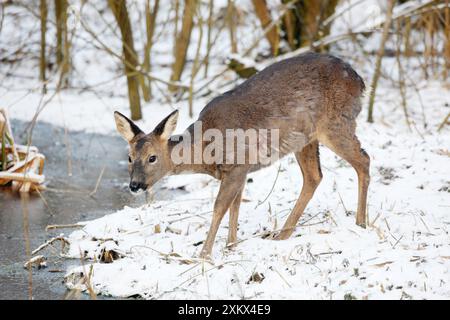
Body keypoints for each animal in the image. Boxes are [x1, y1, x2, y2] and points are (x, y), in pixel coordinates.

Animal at [114, 51, 370, 258]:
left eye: (152, 157)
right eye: (129, 157)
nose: (135, 185)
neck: (206, 151)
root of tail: (360, 81)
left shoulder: (237, 164)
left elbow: (219, 207)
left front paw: (204, 255)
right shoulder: (238, 171)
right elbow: (235, 207)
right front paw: (231, 246)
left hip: (336, 123)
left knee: (363, 160)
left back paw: (361, 223)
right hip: (305, 139)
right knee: (314, 176)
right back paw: (282, 235)